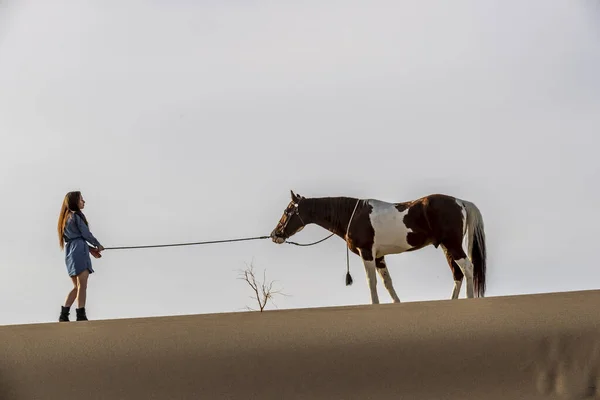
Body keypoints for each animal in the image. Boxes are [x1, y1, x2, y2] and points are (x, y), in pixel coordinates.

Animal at [272, 191, 488, 304]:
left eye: (287, 211)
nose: (275, 234)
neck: (353, 215)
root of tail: (461, 202)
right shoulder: (379, 257)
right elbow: (387, 282)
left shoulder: (367, 253)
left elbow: (372, 282)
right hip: (445, 247)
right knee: (458, 274)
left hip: (452, 244)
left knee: (468, 268)